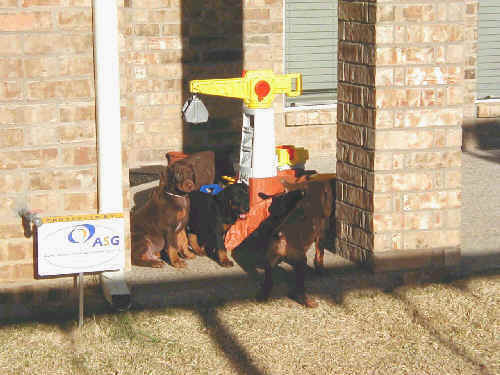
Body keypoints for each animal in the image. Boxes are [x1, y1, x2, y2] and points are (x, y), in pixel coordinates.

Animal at [258, 178, 336, 310]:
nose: (271, 212)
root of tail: (280, 236)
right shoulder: (322, 232)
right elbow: (320, 254)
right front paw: (321, 271)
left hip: (269, 261)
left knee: (268, 282)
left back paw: (263, 297)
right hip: (301, 260)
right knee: (300, 288)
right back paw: (309, 302)